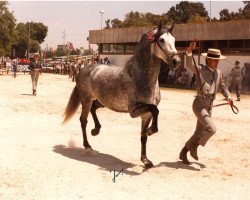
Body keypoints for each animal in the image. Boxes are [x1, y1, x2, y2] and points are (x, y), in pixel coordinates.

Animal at [62, 23, 180, 169]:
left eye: (174, 40)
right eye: (162, 40)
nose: (176, 61)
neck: (140, 77)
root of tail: (84, 69)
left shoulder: (145, 115)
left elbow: (143, 136)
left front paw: (145, 160)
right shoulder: (134, 111)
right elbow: (155, 110)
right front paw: (151, 130)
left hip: (103, 101)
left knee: (93, 108)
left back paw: (96, 130)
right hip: (86, 99)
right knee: (83, 120)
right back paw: (88, 145)